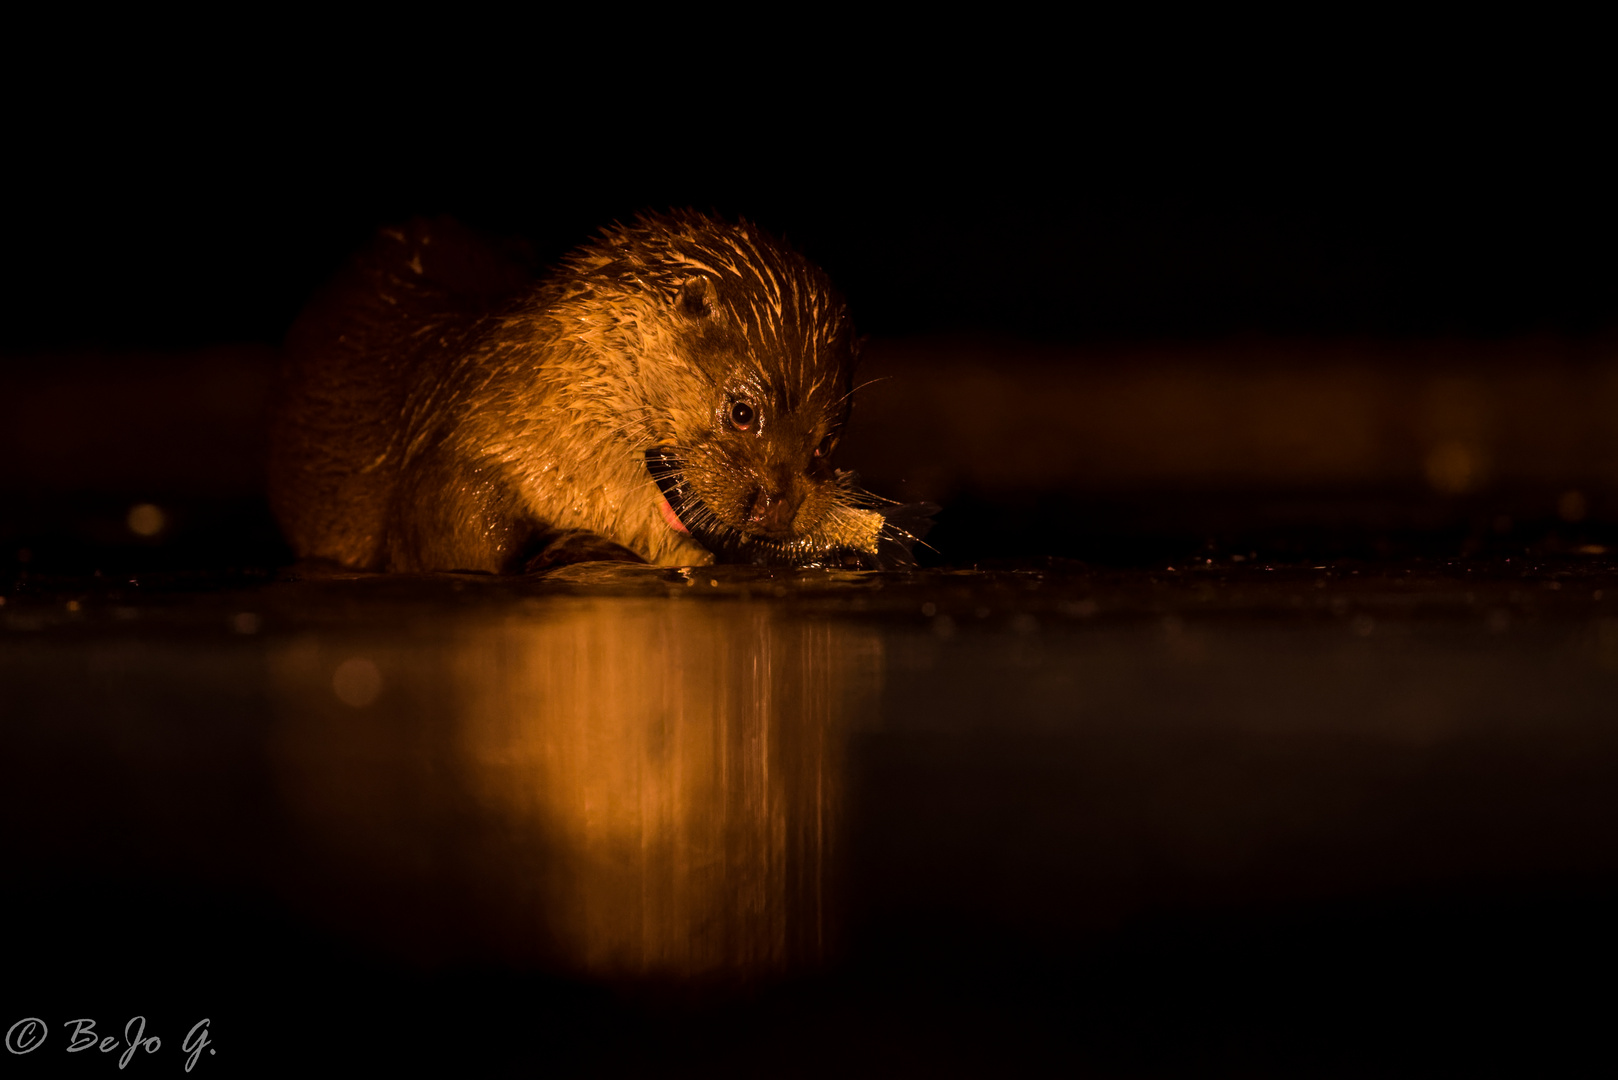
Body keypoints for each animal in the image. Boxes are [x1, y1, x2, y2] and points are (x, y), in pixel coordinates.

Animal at [268, 210, 925, 573]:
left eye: (825, 444)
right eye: (742, 412)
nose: (777, 506)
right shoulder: (457, 443)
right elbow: (447, 525)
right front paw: (574, 546)